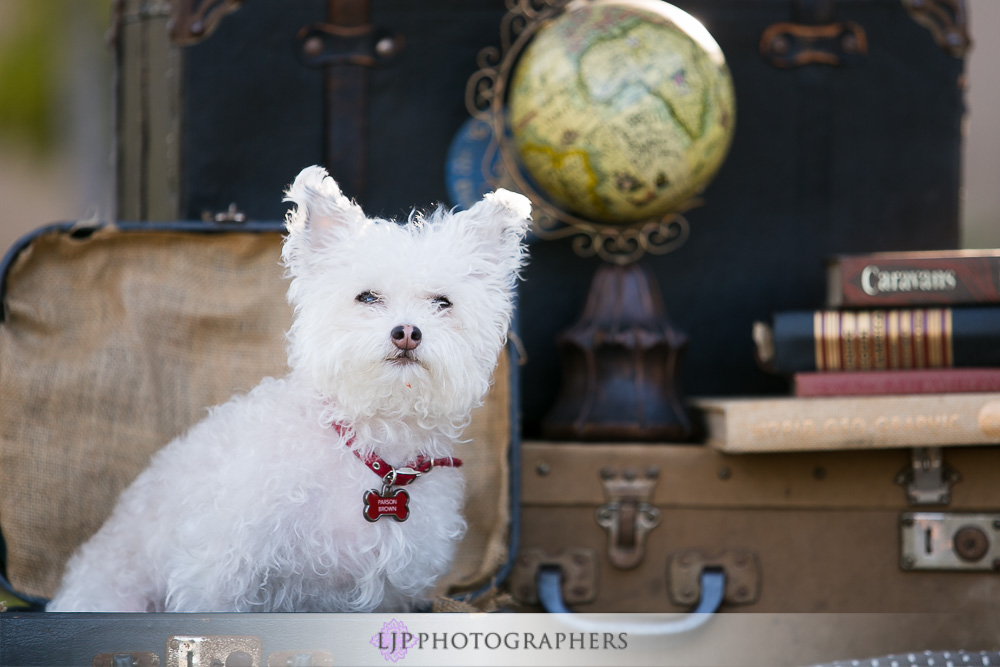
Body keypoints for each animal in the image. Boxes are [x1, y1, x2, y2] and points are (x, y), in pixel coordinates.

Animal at [47, 166, 532, 612]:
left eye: (443, 303)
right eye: (367, 297)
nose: (407, 333)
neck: (376, 448)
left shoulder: (386, 593)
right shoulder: (218, 571)